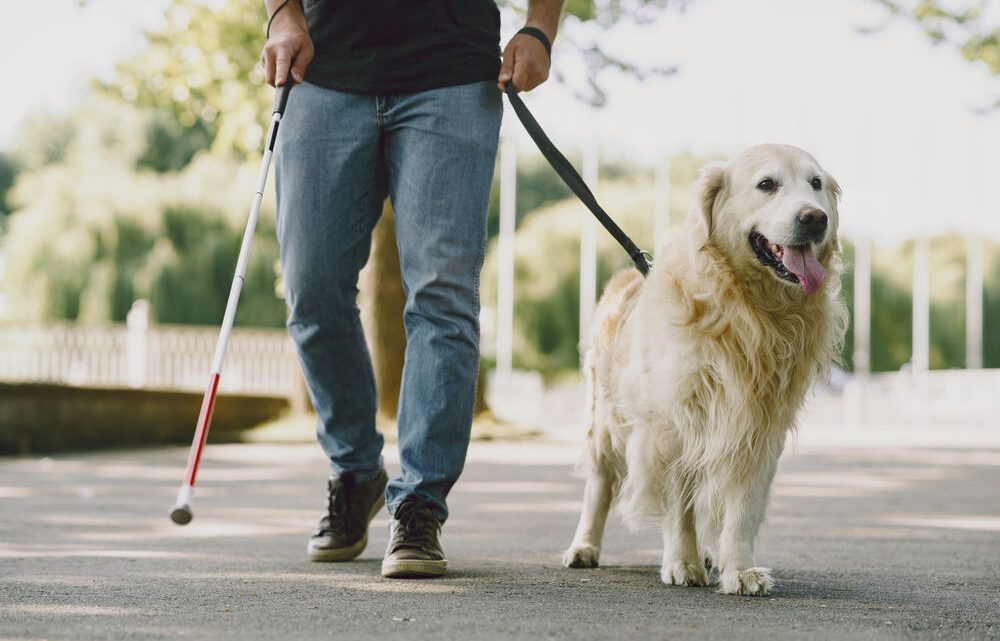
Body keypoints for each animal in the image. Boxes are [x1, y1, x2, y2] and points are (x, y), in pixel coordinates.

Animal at [564, 145, 844, 596]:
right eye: (767, 184)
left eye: (816, 183)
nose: (815, 218)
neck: (748, 310)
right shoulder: (674, 425)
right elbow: (679, 506)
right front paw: (682, 562)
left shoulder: (759, 428)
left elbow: (742, 510)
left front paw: (739, 569)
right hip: (606, 423)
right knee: (599, 486)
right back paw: (584, 547)